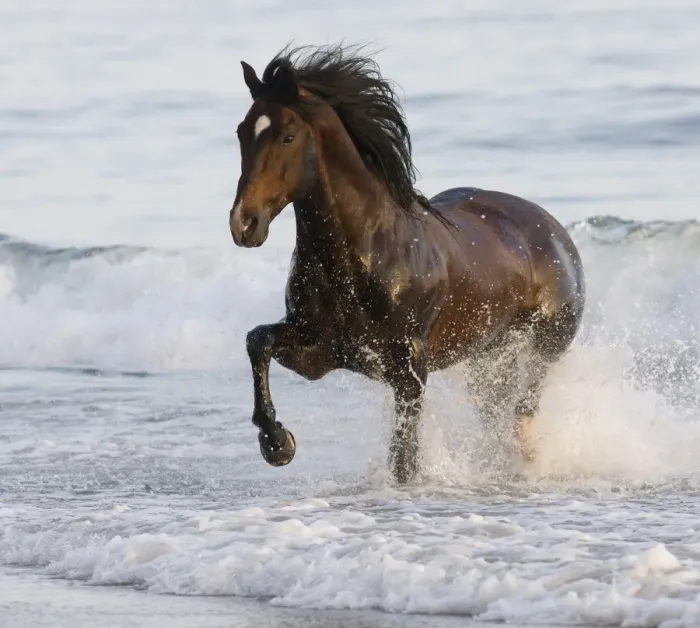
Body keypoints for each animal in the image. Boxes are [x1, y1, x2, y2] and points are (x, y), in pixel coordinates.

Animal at [228, 44, 585, 484]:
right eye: (242, 132)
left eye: (287, 136)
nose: (244, 223)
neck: (362, 258)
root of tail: (556, 231)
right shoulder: (317, 351)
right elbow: (257, 341)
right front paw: (277, 444)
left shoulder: (410, 369)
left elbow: (404, 456)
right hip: (487, 359)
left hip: (545, 345)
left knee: (525, 405)